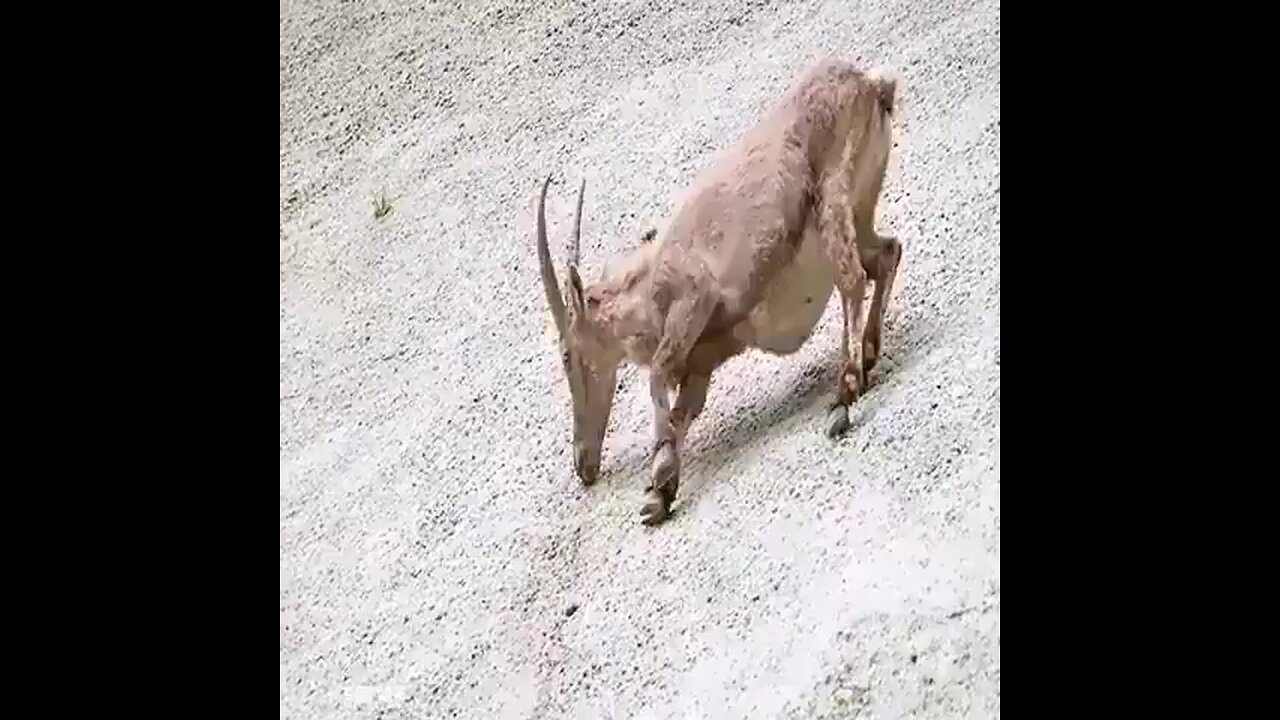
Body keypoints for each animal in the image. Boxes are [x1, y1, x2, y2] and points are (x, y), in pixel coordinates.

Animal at [535, 57, 902, 525]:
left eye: (568, 354)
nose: (584, 464)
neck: (647, 288)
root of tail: (871, 83)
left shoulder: (693, 302)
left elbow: (657, 375)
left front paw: (658, 476)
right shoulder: (701, 361)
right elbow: (683, 412)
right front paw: (660, 491)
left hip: (833, 200)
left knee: (853, 279)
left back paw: (844, 395)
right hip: (859, 209)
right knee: (887, 253)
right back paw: (870, 355)